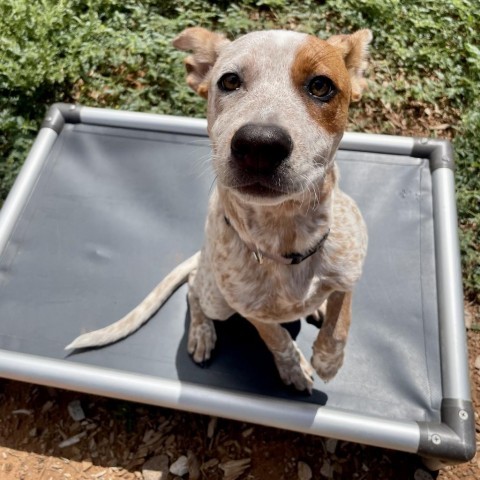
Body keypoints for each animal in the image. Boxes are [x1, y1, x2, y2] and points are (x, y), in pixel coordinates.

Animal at [64, 26, 372, 392]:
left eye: (321, 86)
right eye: (229, 81)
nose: (259, 145)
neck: (284, 232)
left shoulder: (350, 272)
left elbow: (342, 317)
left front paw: (328, 359)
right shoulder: (249, 310)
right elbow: (277, 338)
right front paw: (295, 367)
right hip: (216, 299)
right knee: (193, 288)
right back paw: (201, 333)